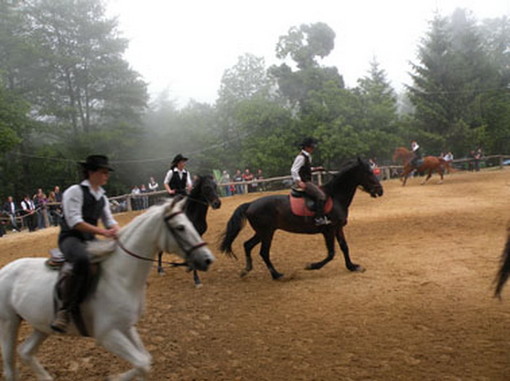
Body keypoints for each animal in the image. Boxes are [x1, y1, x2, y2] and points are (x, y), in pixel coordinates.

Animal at [0, 197, 214, 378]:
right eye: (180, 227)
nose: (207, 259)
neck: (120, 277)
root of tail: (4, 270)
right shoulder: (107, 334)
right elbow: (142, 363)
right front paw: (115, 378)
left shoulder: (126, 326)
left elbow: (145, 361)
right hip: (9, 324)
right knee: (11, 367)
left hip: (41, 326)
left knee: (25, 352)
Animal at [219, 157, 382, 280]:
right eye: (369, 173)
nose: (380, 191)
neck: (335, 197)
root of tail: (251, 204)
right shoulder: (328, 230)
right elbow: (331, 253)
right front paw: (312, 266)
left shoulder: (338, 228)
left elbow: (344, 247)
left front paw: (352, 266)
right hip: (267, 233)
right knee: (263, 252)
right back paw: (277, 275)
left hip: (262, 233)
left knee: (247, 245)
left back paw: (247, 269)